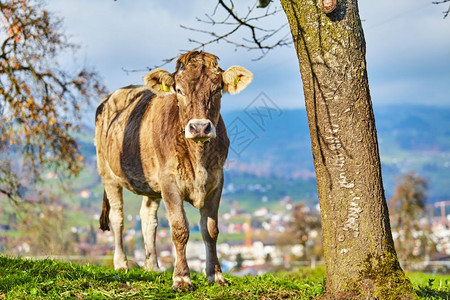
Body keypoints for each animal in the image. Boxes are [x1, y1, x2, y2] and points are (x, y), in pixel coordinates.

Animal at [94, 50, 253, 290]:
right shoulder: (170, 182)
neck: (198, 157)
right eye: (179, 90)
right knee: (117, 217)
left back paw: (152, 266)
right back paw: (121, 264)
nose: (199, 127)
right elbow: (180, 229)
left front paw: (215, 275)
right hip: (107, 173)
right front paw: (181, 278)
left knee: (148, 218)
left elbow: (211, 230)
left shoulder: (217, 181)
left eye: (217, 89)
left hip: (151, 183)